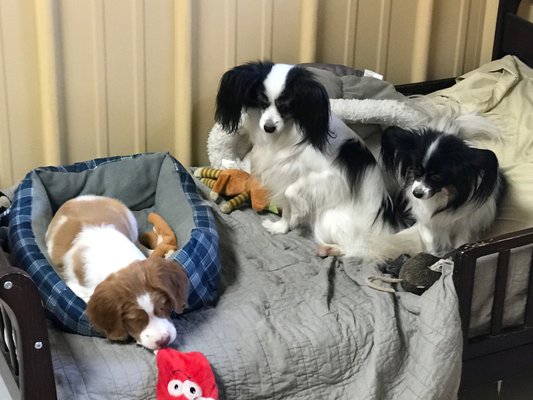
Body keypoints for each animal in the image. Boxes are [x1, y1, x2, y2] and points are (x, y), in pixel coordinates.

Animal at [44, 196, 188, 350]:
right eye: (134, 319)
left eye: (162, 306)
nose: (164, 341)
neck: (117, 259)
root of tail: (76, 199)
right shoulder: (80, 290)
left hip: (130, 221)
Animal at [215, 59, 412, 260]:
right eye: (262, 102)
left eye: (285, 106)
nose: (268, 127)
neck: (284, 135)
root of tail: (388, 229)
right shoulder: (284, 175)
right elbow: (286, 206)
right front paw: (281, 227)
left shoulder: (330, 176)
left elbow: (291, 193)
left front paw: (297, 215)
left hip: (328, 219)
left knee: (358, 249)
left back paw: (330, 249)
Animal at [380, 126, 504, 256]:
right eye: (415, 170)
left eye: (436, 176)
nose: (417, 194)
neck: (442, 196)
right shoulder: (427, 222)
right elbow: (430, 241)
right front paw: (434, 253)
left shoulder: (465, 226)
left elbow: (461, 243)